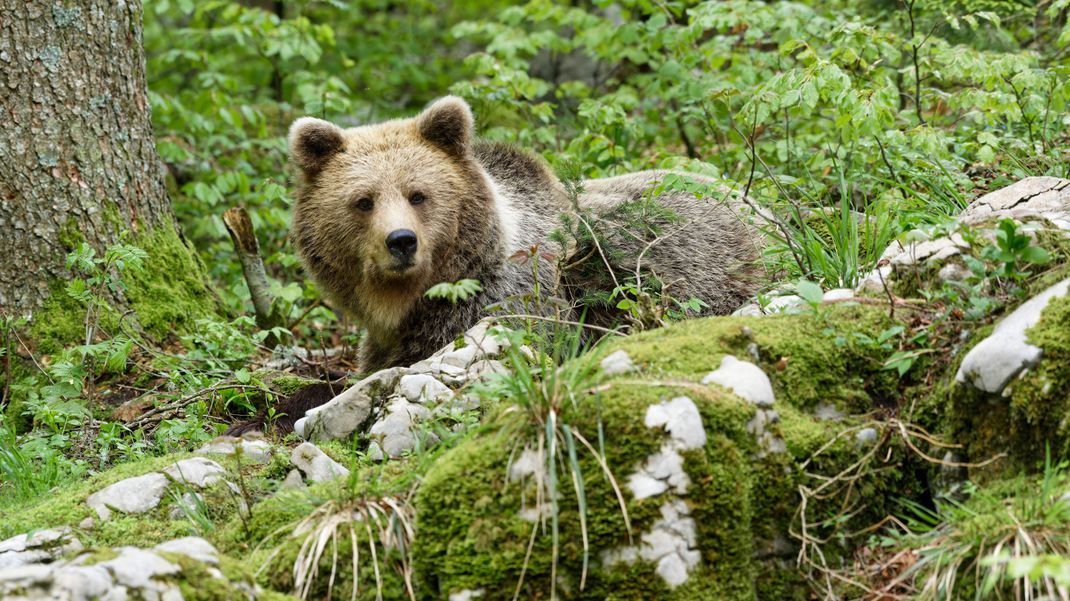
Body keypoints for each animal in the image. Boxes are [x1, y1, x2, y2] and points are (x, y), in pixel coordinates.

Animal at [226, 93, 761, 429]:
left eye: (418, 194)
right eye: (364, 200)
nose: (401, 241)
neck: (410, 300)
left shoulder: (504, 304)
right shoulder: (386, 338)